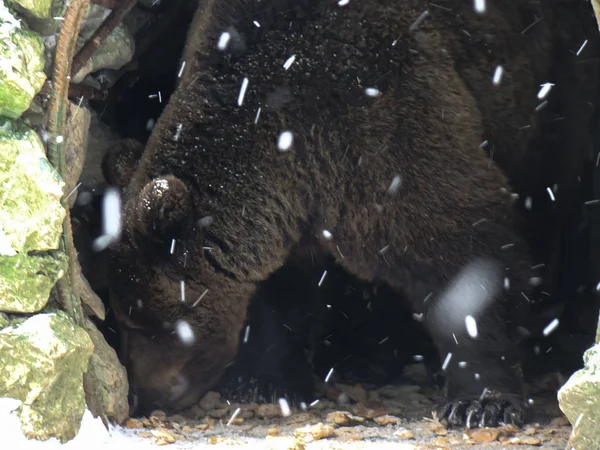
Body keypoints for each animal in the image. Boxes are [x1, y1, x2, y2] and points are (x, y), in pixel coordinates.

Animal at [104, 0, 564, 428]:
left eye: (142, 321)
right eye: (121, 317)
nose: (138, 396)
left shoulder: (387, 134)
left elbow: (462, 256)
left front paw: (482, 404)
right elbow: (281, 293)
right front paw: (263, 380)